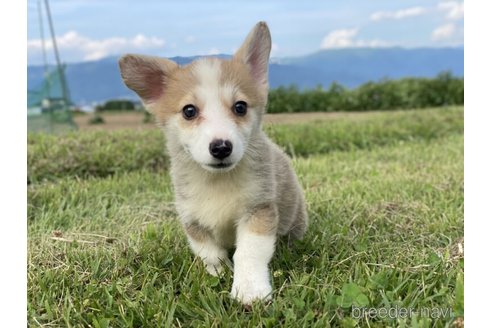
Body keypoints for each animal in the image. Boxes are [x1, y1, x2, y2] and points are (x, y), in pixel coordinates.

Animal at [118, 21, 308, 304]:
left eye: (240, 107)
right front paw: (219, 274)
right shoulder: (193, 221)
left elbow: (249, 252)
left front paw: (250, 291)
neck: (217, 181)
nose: (221, 147)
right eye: (189, 111)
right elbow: (210, 254)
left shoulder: (258, 210)